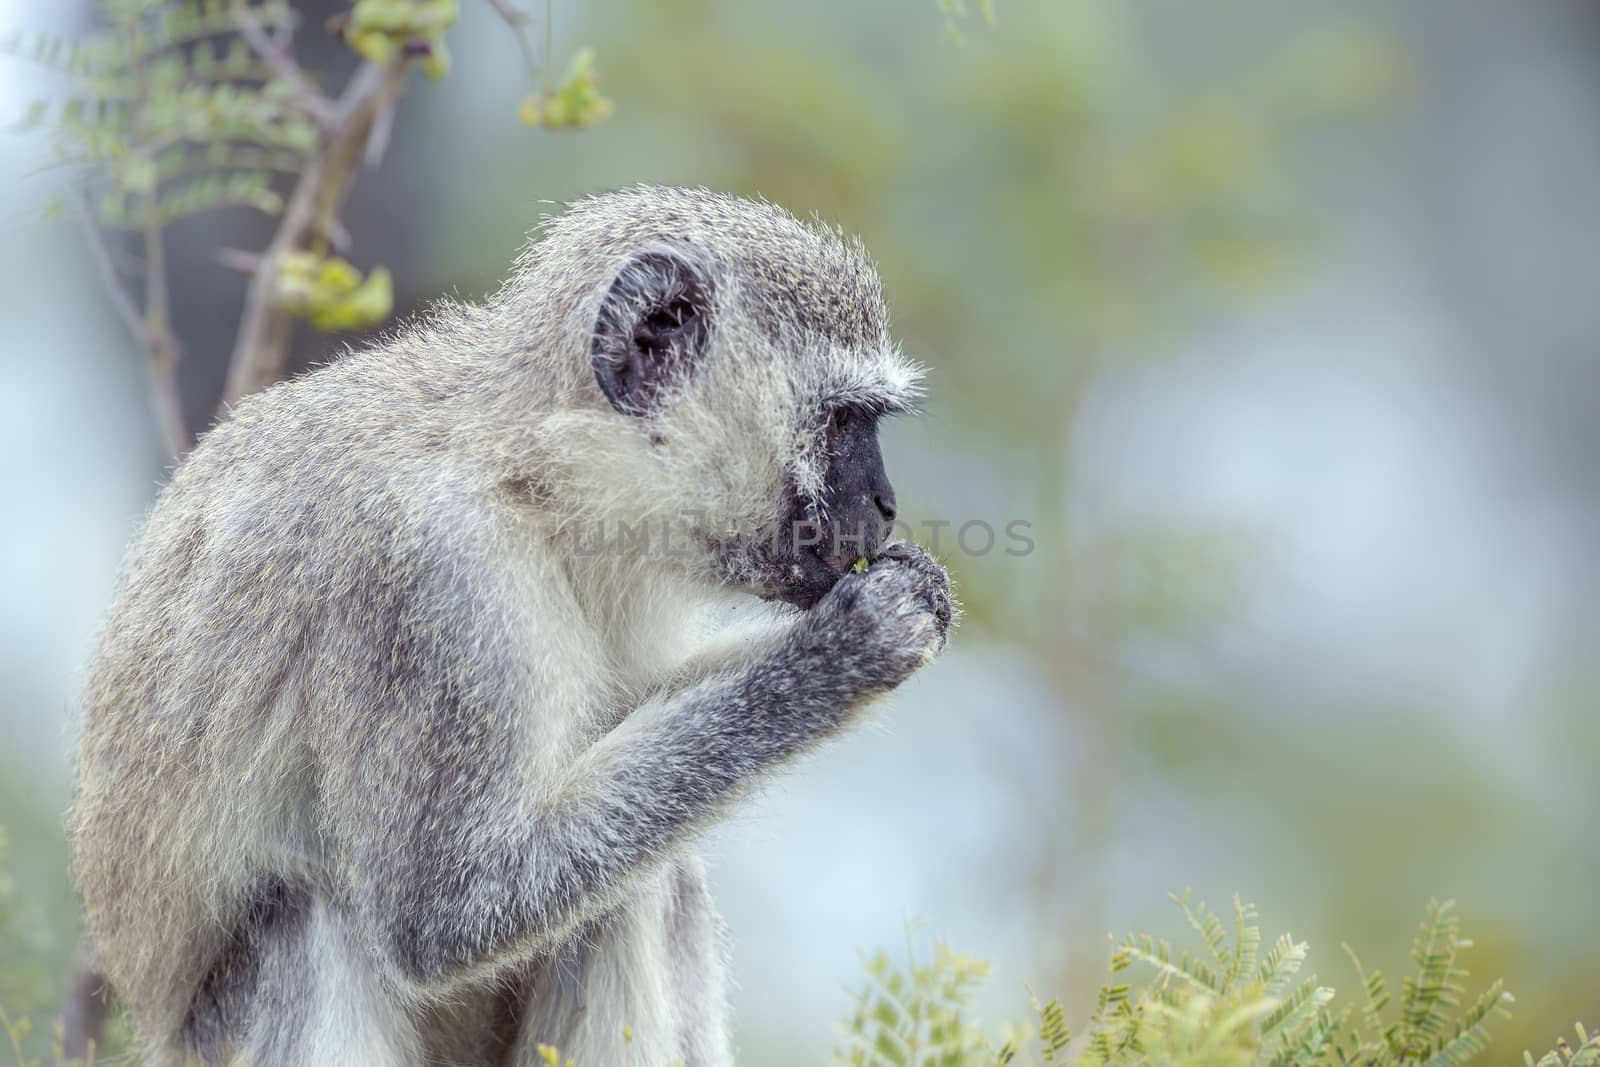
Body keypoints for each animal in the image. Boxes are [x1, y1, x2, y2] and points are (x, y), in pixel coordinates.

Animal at [72, 185, 947, 1067]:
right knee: (309, 920)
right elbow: (444, 913)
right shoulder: (437, 583)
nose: (886, 504)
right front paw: (848, 647)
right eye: (841, 421)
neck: (535, 474)